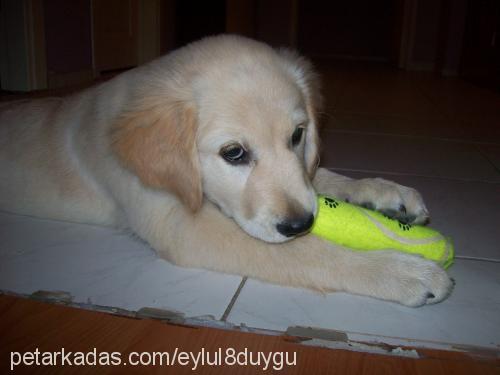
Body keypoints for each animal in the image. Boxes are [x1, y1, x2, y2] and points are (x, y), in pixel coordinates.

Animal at [0, 35, 454, 306]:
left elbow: (321, 176)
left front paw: (383, 193)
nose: (300, 224)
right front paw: (400, 270)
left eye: (297, 135)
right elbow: (307, 252)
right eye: (233, 153)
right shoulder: (182, 228)